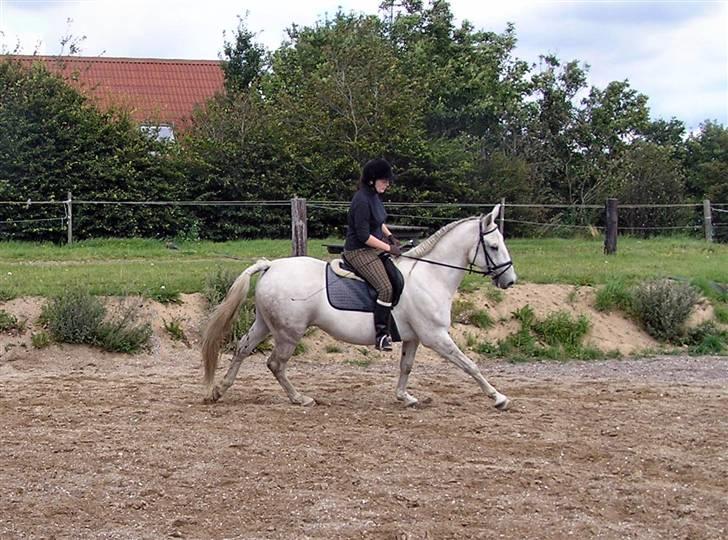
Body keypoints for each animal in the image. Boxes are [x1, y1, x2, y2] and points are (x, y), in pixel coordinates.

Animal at [202, 206, 516, 410]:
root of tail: (271, 265)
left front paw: (404, 397)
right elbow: (469, 364)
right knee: (276, 364)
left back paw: (218, 390)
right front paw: (498, 397)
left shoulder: (414, 338)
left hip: (266, 324)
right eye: (493, 246)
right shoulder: (435, 336)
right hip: (289, 332)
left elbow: (406, 366)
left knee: (243, 349)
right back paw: (300, 398)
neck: (431, 275)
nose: (510, 280)